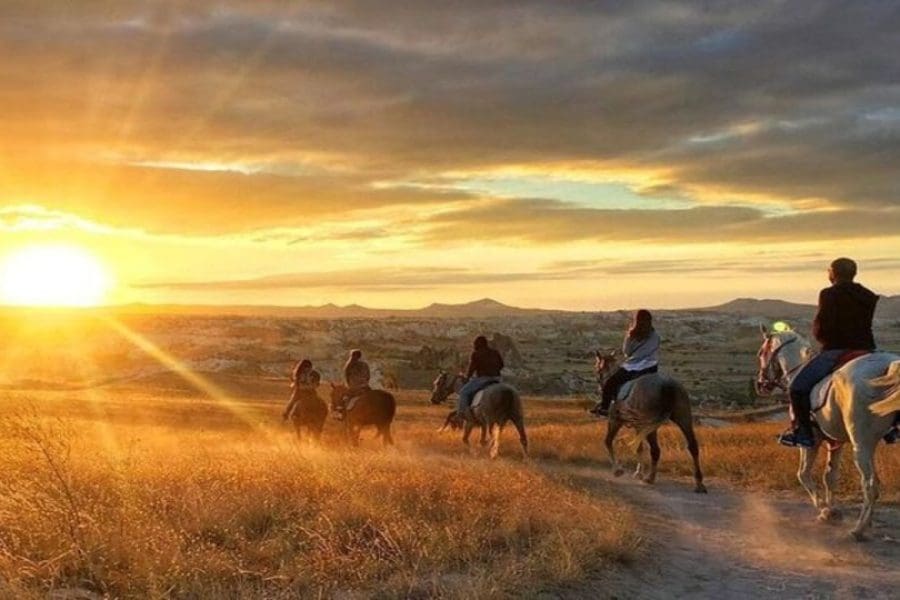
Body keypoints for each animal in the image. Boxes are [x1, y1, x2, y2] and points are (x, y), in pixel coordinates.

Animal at [756, 326, 896, 540]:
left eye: (761, 353)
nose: (761, 384)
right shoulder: (835, 441)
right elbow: (830, 476)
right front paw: (832, 510)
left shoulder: (811, 439)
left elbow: (803, 474)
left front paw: (823, 509)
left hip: (862, 444)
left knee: (870, 485)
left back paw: (859, 529)